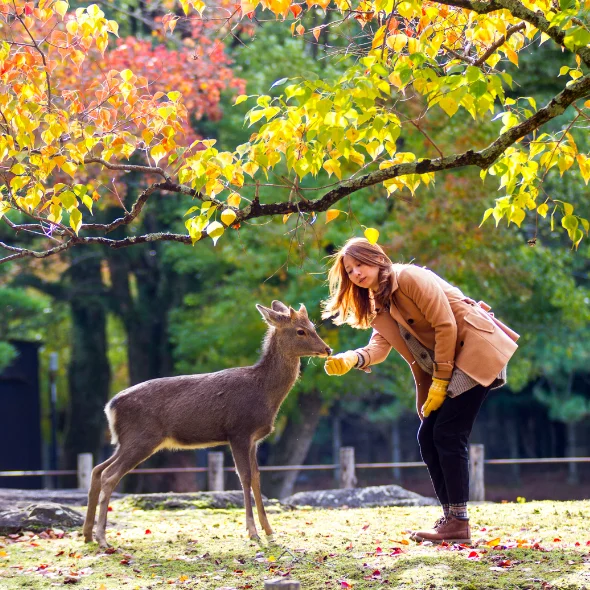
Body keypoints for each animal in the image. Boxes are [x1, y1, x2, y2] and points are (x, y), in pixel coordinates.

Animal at [83, 302, 332, 548]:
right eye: (300, 331)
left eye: (313, 326)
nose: (327, 349)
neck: (264, 393)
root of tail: (110, 407)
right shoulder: (238, 431)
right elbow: (245, 477)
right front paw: (253, 533)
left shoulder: (254, 439)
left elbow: (257, 478)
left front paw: (270, 532)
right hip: (142, 437)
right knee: (109, 475)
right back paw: (102, 538)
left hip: (126, 441)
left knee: (97, 470)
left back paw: (87, 534)